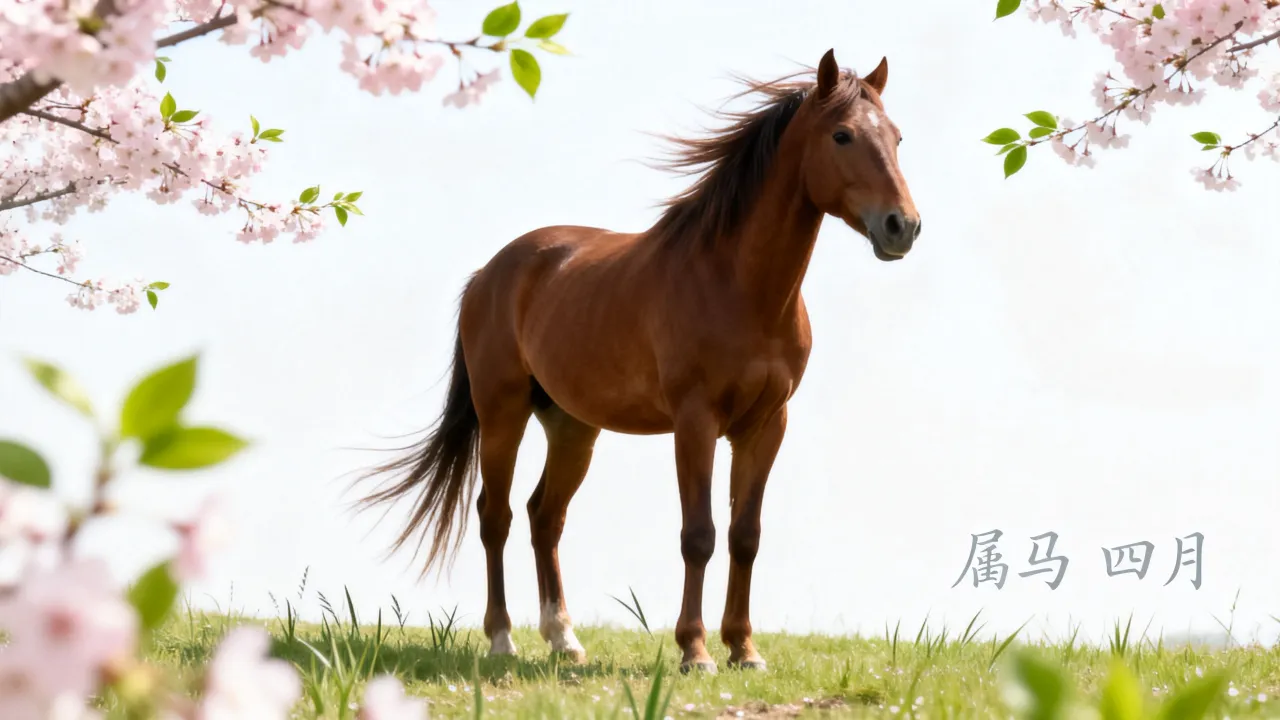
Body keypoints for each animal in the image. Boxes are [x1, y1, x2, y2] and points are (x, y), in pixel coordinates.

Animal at [359, 48, 921, 674]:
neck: (737, 285)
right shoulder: (695, 422)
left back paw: (563, 637)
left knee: (544, 517)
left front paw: (743, 649)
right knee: (495, 516)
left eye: (897, 136)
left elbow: (745, 535)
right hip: (502, 414)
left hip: (573, 427)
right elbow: (698, 534)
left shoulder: (766, 425)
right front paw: (695, 651)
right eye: (843, 135)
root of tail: (490, 273)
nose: (903, 226)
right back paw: (502, 638)